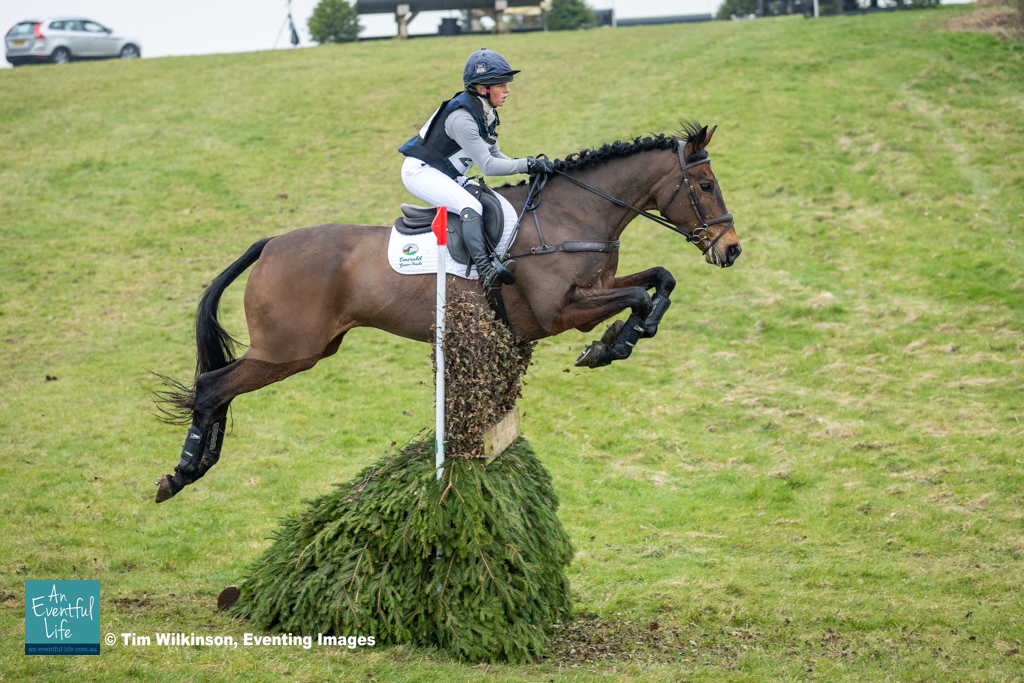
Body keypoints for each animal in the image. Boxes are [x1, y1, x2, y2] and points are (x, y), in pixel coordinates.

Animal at [152, 122, 741, 503]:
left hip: (302, 349)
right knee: (211, 386)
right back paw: (182, 473)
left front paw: (620, 339)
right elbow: (640, 296)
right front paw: (609, 346)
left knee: (219, 389)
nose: (731, 249)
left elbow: (660, 280)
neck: (573, 214)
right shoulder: (559, 311)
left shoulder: (592, 292)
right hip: (288, 350)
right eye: (706, 185)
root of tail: (270, 244)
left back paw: (194, 468)